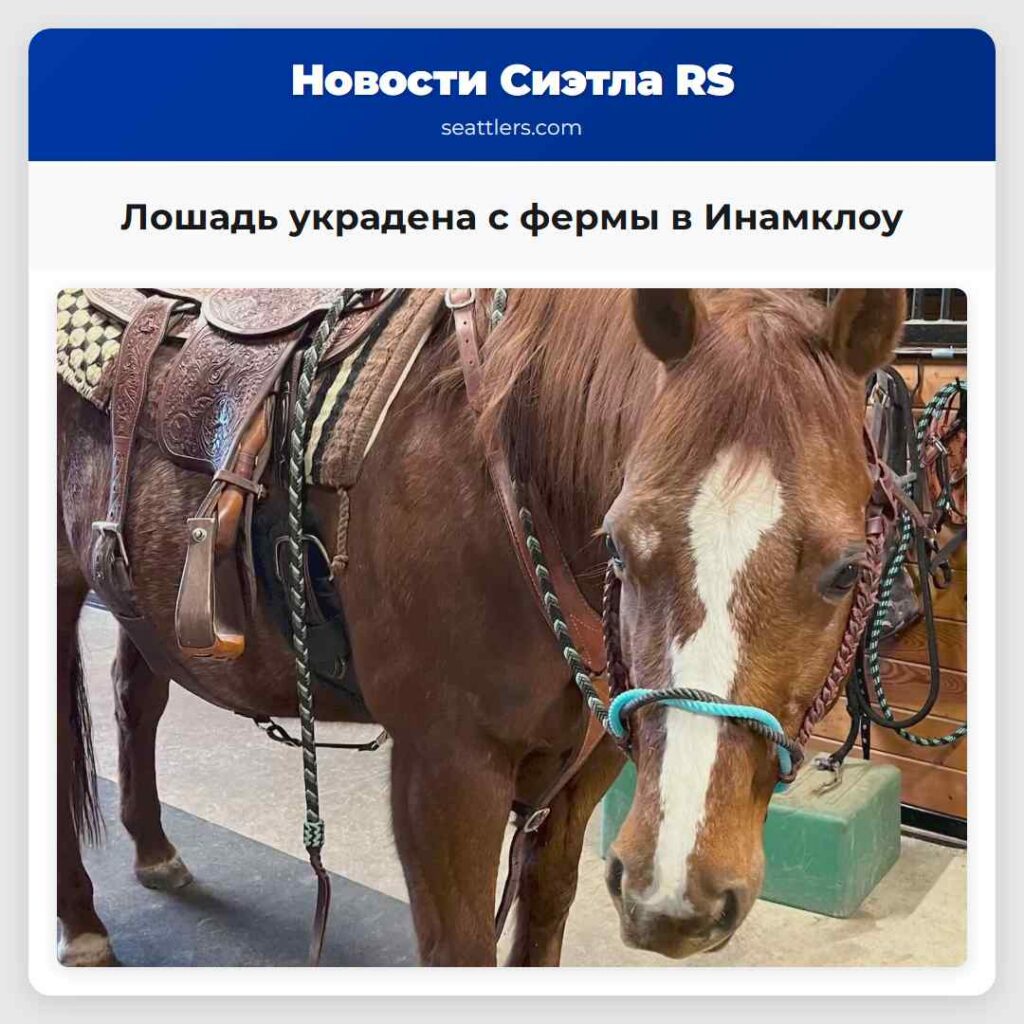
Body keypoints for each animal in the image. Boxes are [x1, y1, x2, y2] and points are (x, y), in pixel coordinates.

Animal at [56, 287, 905, 966]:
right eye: (618, 544)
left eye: (846, 571)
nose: (675, 893)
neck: (509, 484)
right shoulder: (446, 774)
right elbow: (460, 946)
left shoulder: (585, 770)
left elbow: (543, 917)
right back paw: (83, 924)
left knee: (135, 699)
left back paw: (155, 852)